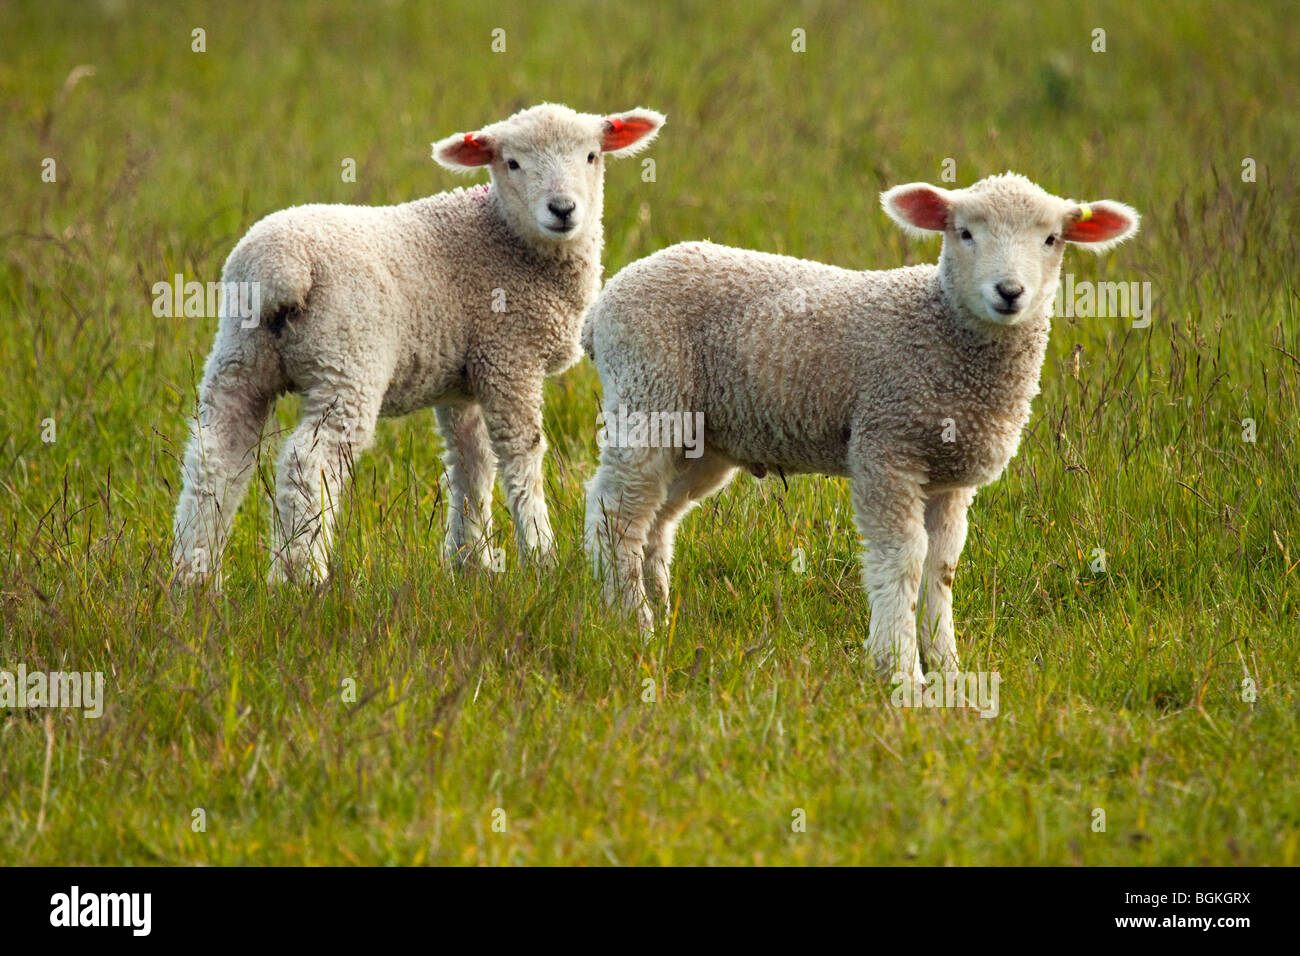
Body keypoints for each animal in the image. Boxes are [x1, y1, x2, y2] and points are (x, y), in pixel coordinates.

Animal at [170, 102, 660, 582]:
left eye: (592, 156)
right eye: (512, 163)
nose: (562, 209)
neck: (505, 238)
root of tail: (279, 266)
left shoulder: (465, 378)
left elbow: (470, 464)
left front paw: (470, 562)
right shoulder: (508, 356)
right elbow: (520, 454)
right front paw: (541, 555)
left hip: (240, 356)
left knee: (215, 459)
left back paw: (193, 577)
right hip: (347, 362)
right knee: (307, 464)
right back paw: (302, 576)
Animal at [585, 171, 1144, 681]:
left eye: (1051, 239)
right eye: (964, 232)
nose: (1009, 292)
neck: (944, 330)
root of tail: (602, 306)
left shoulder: (949, 477)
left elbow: (942, 565)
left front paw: (947, 668)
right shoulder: (886, 446)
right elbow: (904, 559)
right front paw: (900, 671)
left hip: (702, 435)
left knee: (657, 516)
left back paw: (659, 611)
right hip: (647, 391)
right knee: (617, 511)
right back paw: (632, 624)